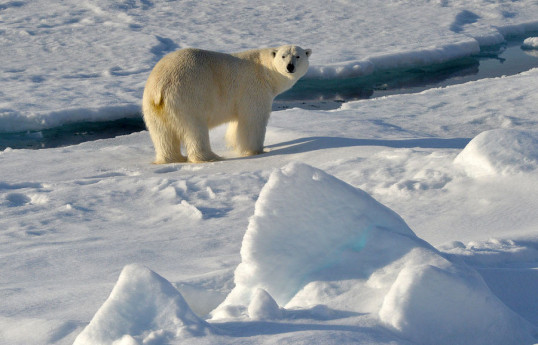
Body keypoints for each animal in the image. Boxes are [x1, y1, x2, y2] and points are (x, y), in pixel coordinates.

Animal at [141, 44, 310, 163]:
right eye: (283, 56)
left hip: (151, 106)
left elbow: (237, 123)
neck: (265, 70)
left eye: (298, 56)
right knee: (195, 128)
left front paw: (234, 143)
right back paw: (210, 157)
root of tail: (160, 86)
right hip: (188, 96)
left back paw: (172, 159)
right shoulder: (254, 89)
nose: (290, 66)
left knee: (162, 133)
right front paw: (257, 150)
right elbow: (253, 120)